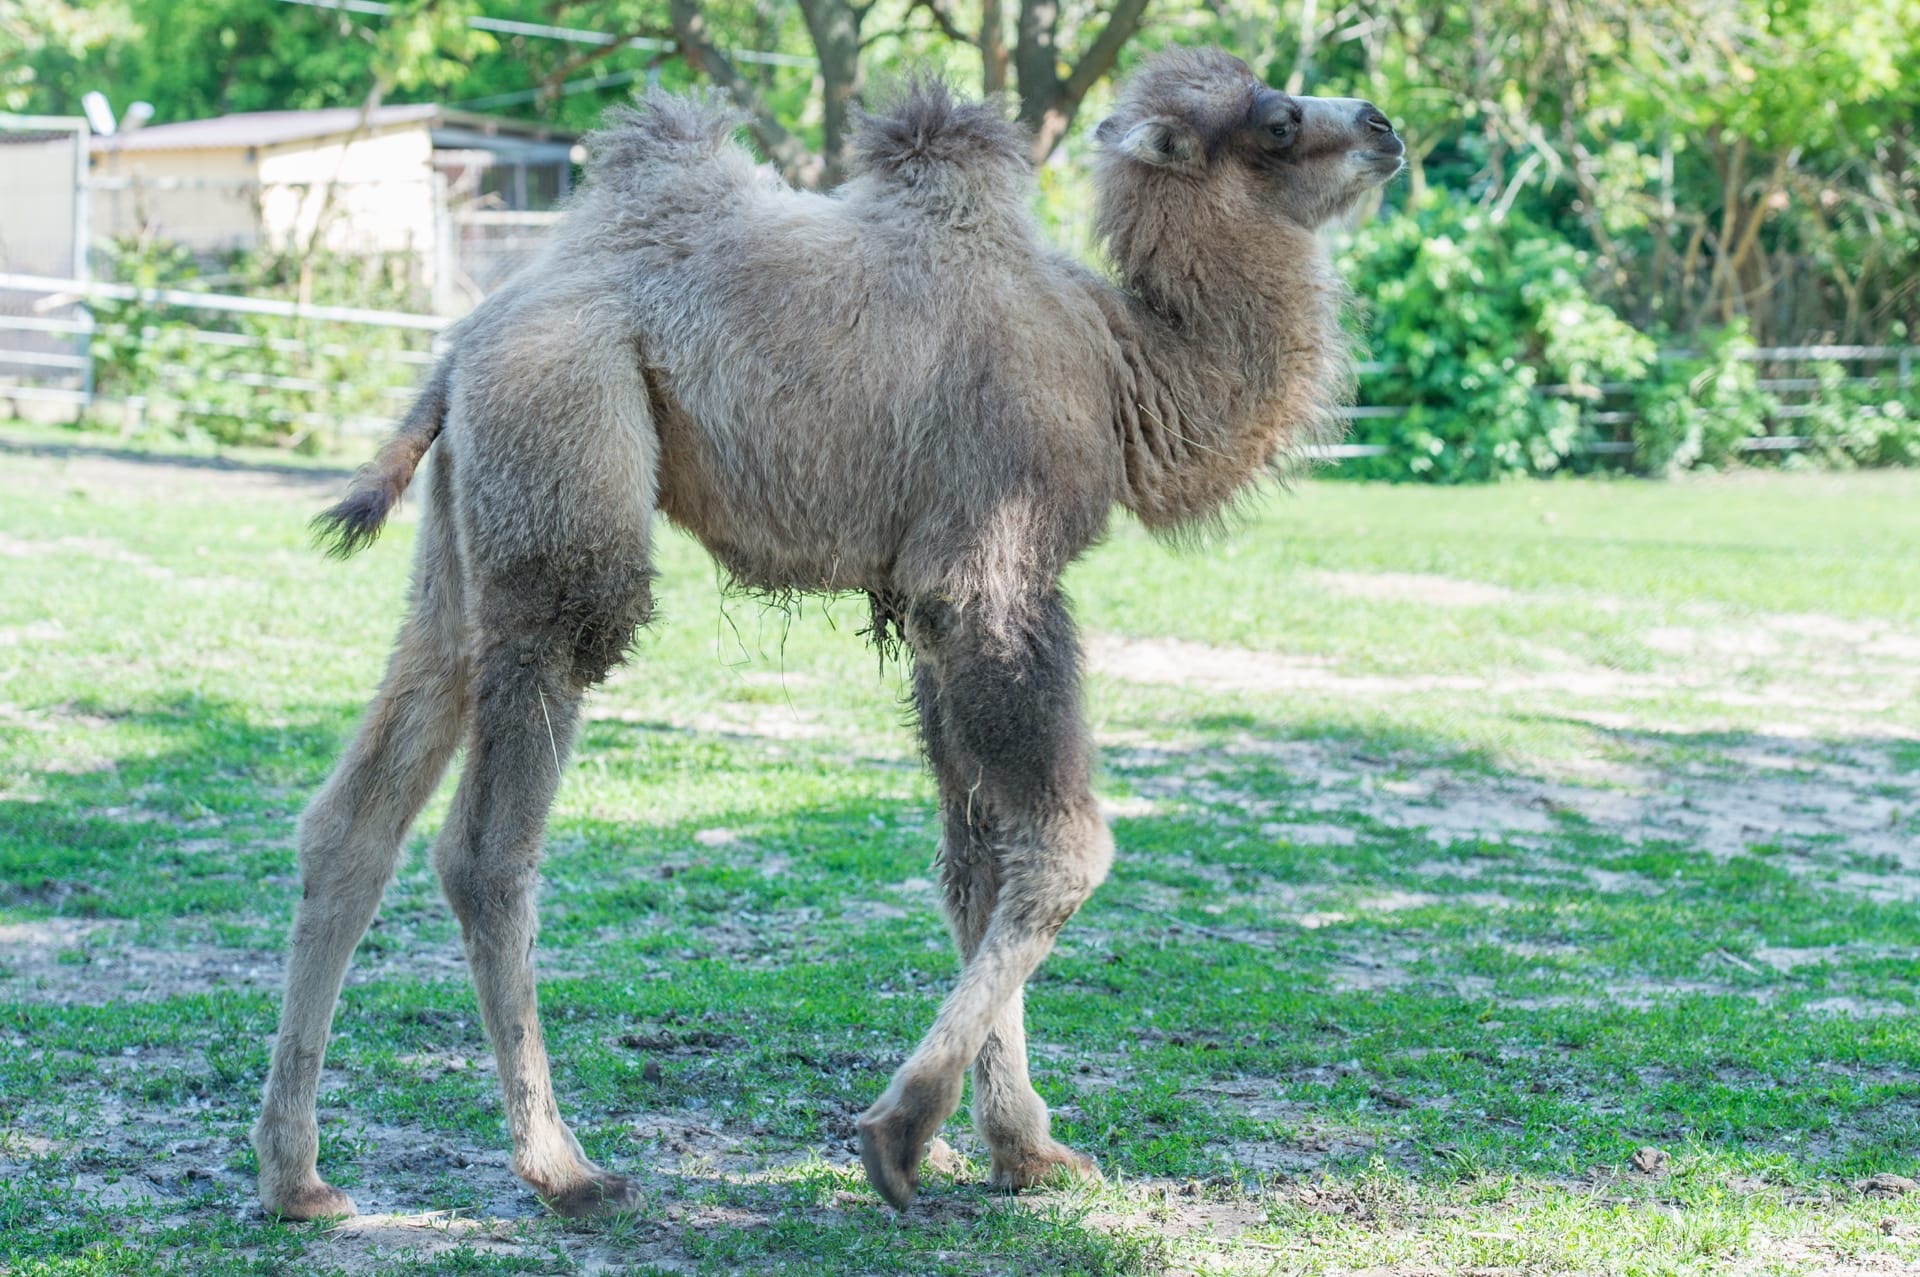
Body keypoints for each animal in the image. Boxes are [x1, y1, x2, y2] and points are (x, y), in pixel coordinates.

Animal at [251, 49, 1397, 1221]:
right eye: (1277, 119)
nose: (1384, 126)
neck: (1122, 368)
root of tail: (460, 345)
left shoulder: (929, 611)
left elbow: (975, 865)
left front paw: (1026, 1147)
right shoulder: (991, 573)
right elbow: (1064, 845)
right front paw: (902, 1132)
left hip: (465, 532)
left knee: (360, 805)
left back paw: (298, 1176)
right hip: (567, 452)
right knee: (491, 832)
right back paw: (561, 1165)